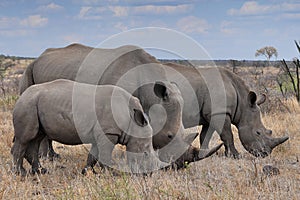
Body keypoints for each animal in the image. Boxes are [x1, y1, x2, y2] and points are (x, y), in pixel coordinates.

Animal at [18, 44, 220, 167]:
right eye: (169, 136)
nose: (180, 165)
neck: (150, 95)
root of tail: (38, 57)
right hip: (29, 73)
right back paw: (48, 158)